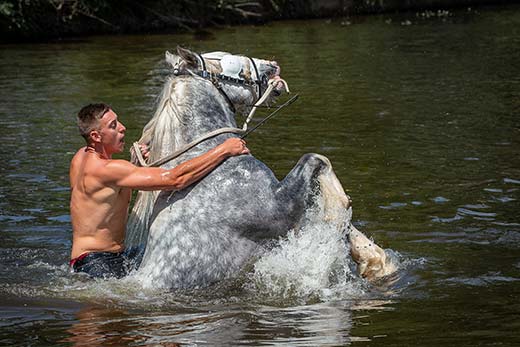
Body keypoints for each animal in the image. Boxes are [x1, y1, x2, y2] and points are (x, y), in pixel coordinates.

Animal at [127, 47, 394, 290]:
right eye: (231, 60)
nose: (273, 64)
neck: (209, 159)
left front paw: (375, 262)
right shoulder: (281, 210)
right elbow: (317, 160)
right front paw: (339, 211)